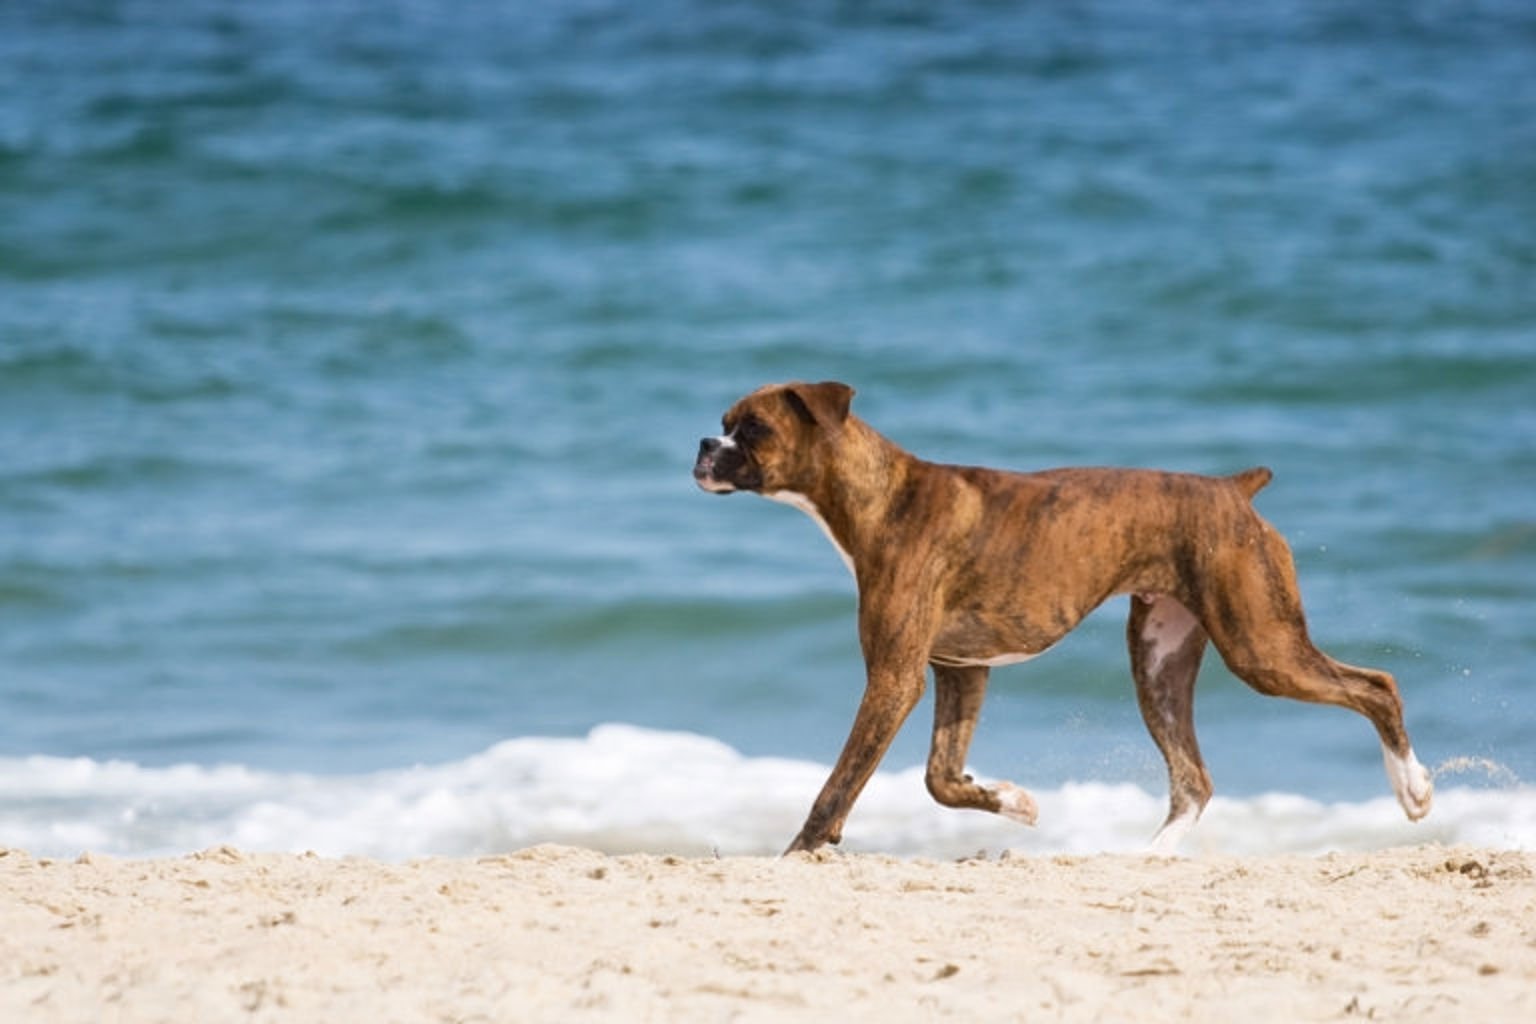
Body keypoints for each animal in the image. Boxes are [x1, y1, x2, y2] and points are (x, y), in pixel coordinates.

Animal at [691, 380, 1431, 853]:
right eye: (722, 421)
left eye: (751, 428)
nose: (702, 443)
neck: (881, 497)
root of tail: (1231, 490)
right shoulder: (960, 671)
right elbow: (940, 780)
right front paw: (1011, 802)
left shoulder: (895, 679)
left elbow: (840, 781)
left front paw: (802, 849)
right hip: (1159, 663)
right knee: (1193, 782)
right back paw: (1147, 860)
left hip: (1261, 648)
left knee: (1377, 687)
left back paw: (1415, 789)